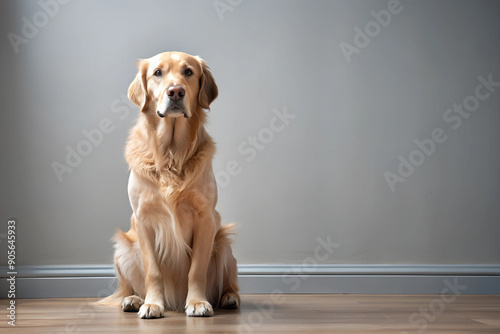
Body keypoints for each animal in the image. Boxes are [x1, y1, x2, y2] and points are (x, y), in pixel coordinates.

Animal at [99, 51, 240, 318]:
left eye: (188, 72)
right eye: (157, 73)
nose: (176, 91)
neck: (172, 154)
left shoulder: (205, 218)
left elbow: (196, 269)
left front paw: (197, 302)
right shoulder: (143, 220)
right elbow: (153, 271)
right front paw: (153, 304)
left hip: (224, 242)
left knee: (230, 282)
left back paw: (229, 298)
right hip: (124, 249)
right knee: (127, 287)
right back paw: (133, 300)